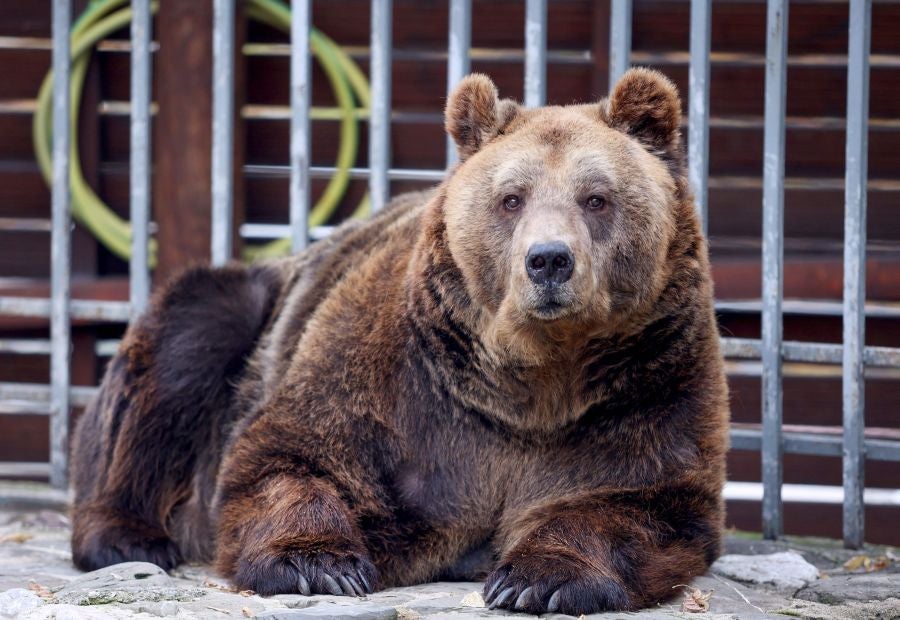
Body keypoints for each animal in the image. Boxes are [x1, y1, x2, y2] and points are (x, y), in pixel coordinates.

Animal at [69, 68, 729, 615]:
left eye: (596, 198)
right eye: (511, 198)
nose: (548, 260)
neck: (532, 380)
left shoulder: (644, 388)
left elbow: (642, 501)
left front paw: (538, 580)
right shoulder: (400, 384)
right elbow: (288, 456)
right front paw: (319, 564)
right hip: (251, 310)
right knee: (182, 350)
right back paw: (127, 538)